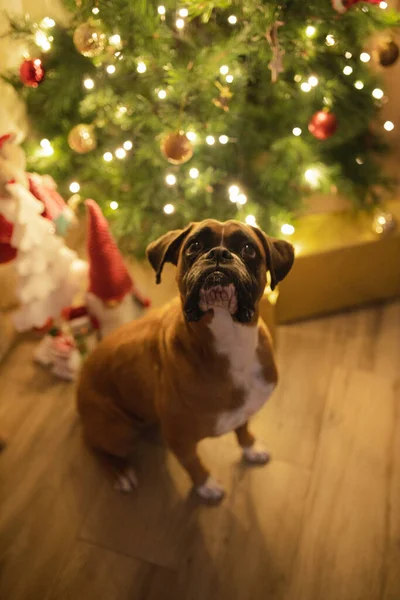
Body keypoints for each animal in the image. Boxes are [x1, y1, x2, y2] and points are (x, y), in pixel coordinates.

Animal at [77, 218, 294, 500]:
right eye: (195, 245)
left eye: (248, 248)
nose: (219, 254)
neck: (229, 339)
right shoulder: (180, 439)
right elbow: (193, 463)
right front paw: (205, 485)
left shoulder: (243, 410)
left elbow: (243, 429)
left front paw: (251, 447)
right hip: (119, 432)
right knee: (94, 445)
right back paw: (120, 472)